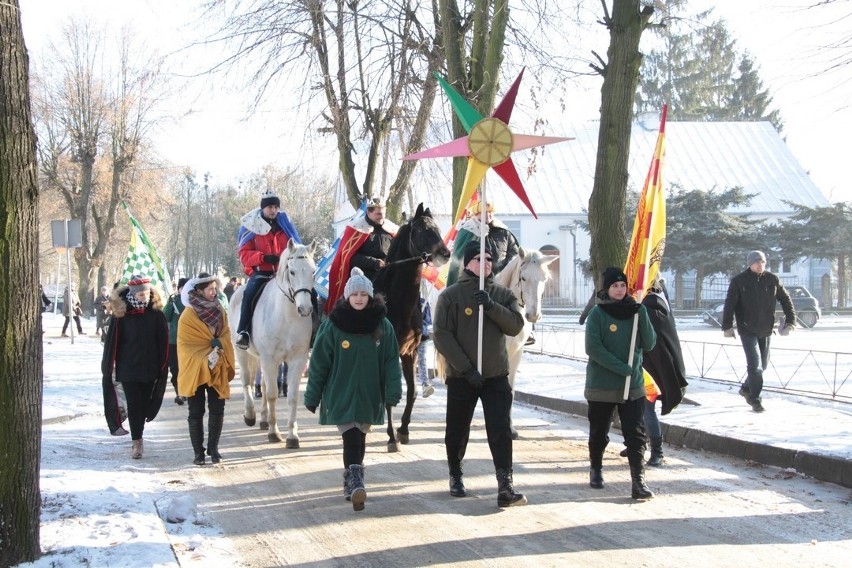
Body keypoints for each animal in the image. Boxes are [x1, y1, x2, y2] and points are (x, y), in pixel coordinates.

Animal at [230, 240, 316, 448]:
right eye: (292, 271)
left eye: (313, 271)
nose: (305, 309)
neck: (287, 315)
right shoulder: (270, 358)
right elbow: (271, 394)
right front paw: (274, 432)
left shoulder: (297, 359)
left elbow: (291, 397)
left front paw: (292, 435)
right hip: (241, 352)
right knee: (247, 381)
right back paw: (250, 415)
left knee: (262, 383)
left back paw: (263, 419)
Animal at [374, 202, 452, 450]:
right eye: (420, 231)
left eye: (437, 228)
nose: (445, 254)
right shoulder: (387, 353)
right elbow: (388, 394)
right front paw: (391, 437)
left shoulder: (410, 352)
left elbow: (413, 392)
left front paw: (403, 430)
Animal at [492, 247, 560, 440]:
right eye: (523, 278)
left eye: (544, 279)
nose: (533, 315)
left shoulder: (516, 353)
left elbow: (510, 389)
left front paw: (510, 428)